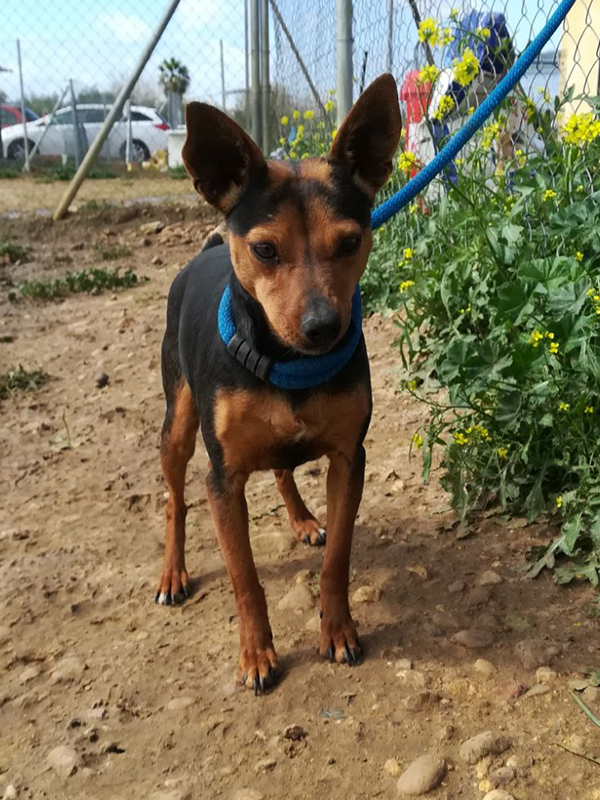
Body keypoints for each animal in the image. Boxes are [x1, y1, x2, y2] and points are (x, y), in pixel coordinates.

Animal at [155, 74, 402, 695]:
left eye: (351, 241)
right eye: (265, 249)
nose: (322, 327)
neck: (287, 363)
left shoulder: (349, 458)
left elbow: (337, 559)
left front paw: (337, 631)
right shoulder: (223, 479)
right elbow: (244, 577)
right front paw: (257, 655)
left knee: (285, 468)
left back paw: (303, 519)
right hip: (177, 423)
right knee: (174, 499)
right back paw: (173, 572)